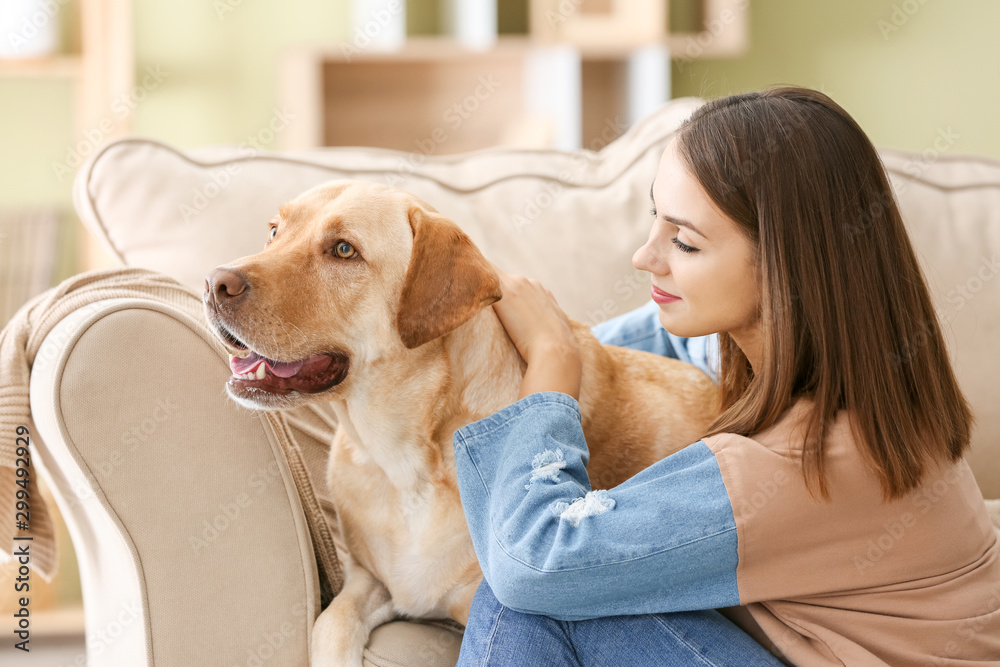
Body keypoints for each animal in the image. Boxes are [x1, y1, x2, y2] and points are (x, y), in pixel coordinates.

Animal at [203, 180, 720, 664]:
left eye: (344, 250)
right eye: (274, 231)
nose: (213, 283)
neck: (405, 464)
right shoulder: (367, 581)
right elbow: (329, 625)